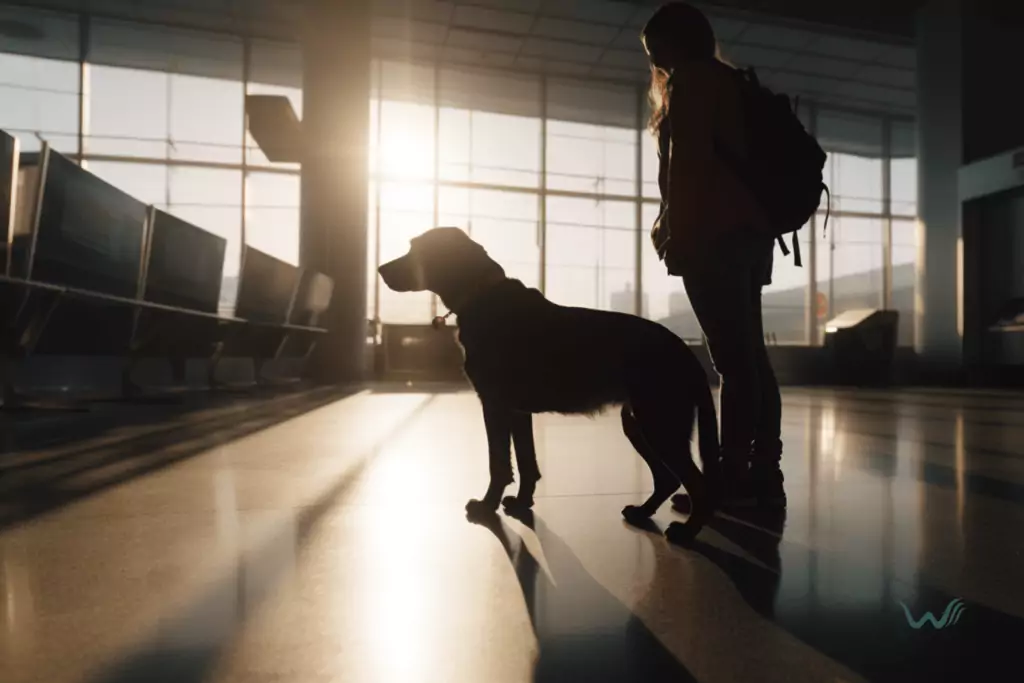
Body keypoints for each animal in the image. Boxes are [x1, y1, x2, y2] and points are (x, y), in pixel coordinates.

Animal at [376, 229, 720, 544]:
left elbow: (498, 462)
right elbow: (526, 461)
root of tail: (686, 352)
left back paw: (687, 531)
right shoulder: (517, 410)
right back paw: (643, 512)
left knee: (696, 482)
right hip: (638, 422)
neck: (481, 294)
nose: (379, 269)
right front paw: (521, 502)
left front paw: (486, 506)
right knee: (667, 478)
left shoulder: (494, 403)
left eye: (418, 249)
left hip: (660, 423)